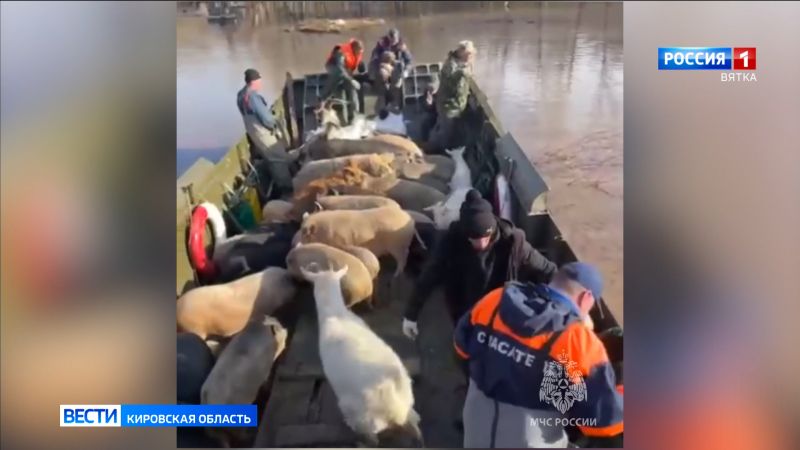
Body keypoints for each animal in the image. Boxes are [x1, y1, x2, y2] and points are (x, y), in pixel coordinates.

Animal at [300, 264, 424, 446]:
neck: (334, 312)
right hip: (407, 402)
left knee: (372, 438)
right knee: (415, 424)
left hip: (361, 416)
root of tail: (395, 409)